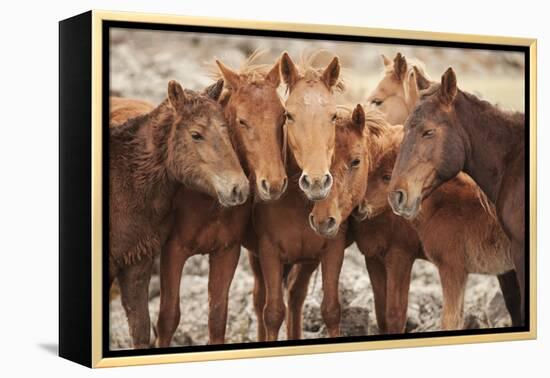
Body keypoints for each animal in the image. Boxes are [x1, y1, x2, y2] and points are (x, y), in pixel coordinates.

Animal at [153, 53, 286, 346]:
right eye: (242, 121)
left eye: (283, 117)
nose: (273, 184)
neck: (208, 200)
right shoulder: (173, 250)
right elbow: (167, 319)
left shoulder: (227, 251)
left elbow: (216, 318)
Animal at [249, 51, 344, 342]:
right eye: (288, 115)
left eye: (333, 116)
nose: (316, 182)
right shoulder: (268, 253)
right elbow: (272, 313)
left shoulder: (331, 251)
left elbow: (331, 310)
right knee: (260, 300)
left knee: (296, 295)